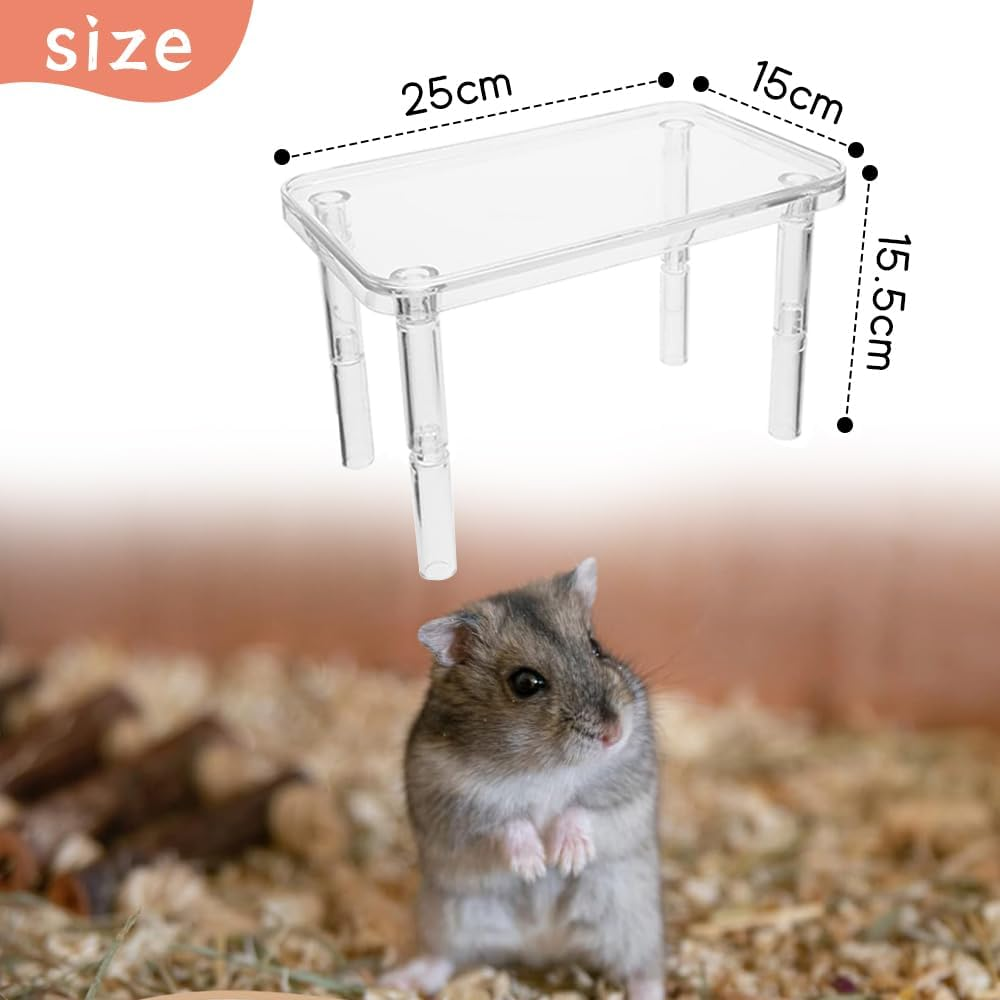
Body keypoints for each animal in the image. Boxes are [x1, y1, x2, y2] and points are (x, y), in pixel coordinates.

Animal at [381, 558, 664, 1000]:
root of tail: (543, 947)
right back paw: (397, 980)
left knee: (644, 971)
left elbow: (582, 809)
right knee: (442, 958)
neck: (544, 767)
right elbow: (506, 822)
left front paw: (565, 858)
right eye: (526, 683)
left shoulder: (628, 788)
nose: (614, 733)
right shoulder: (452, 804)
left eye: (596, 646)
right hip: (448, 917)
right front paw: (534, 866)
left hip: (633, 919)